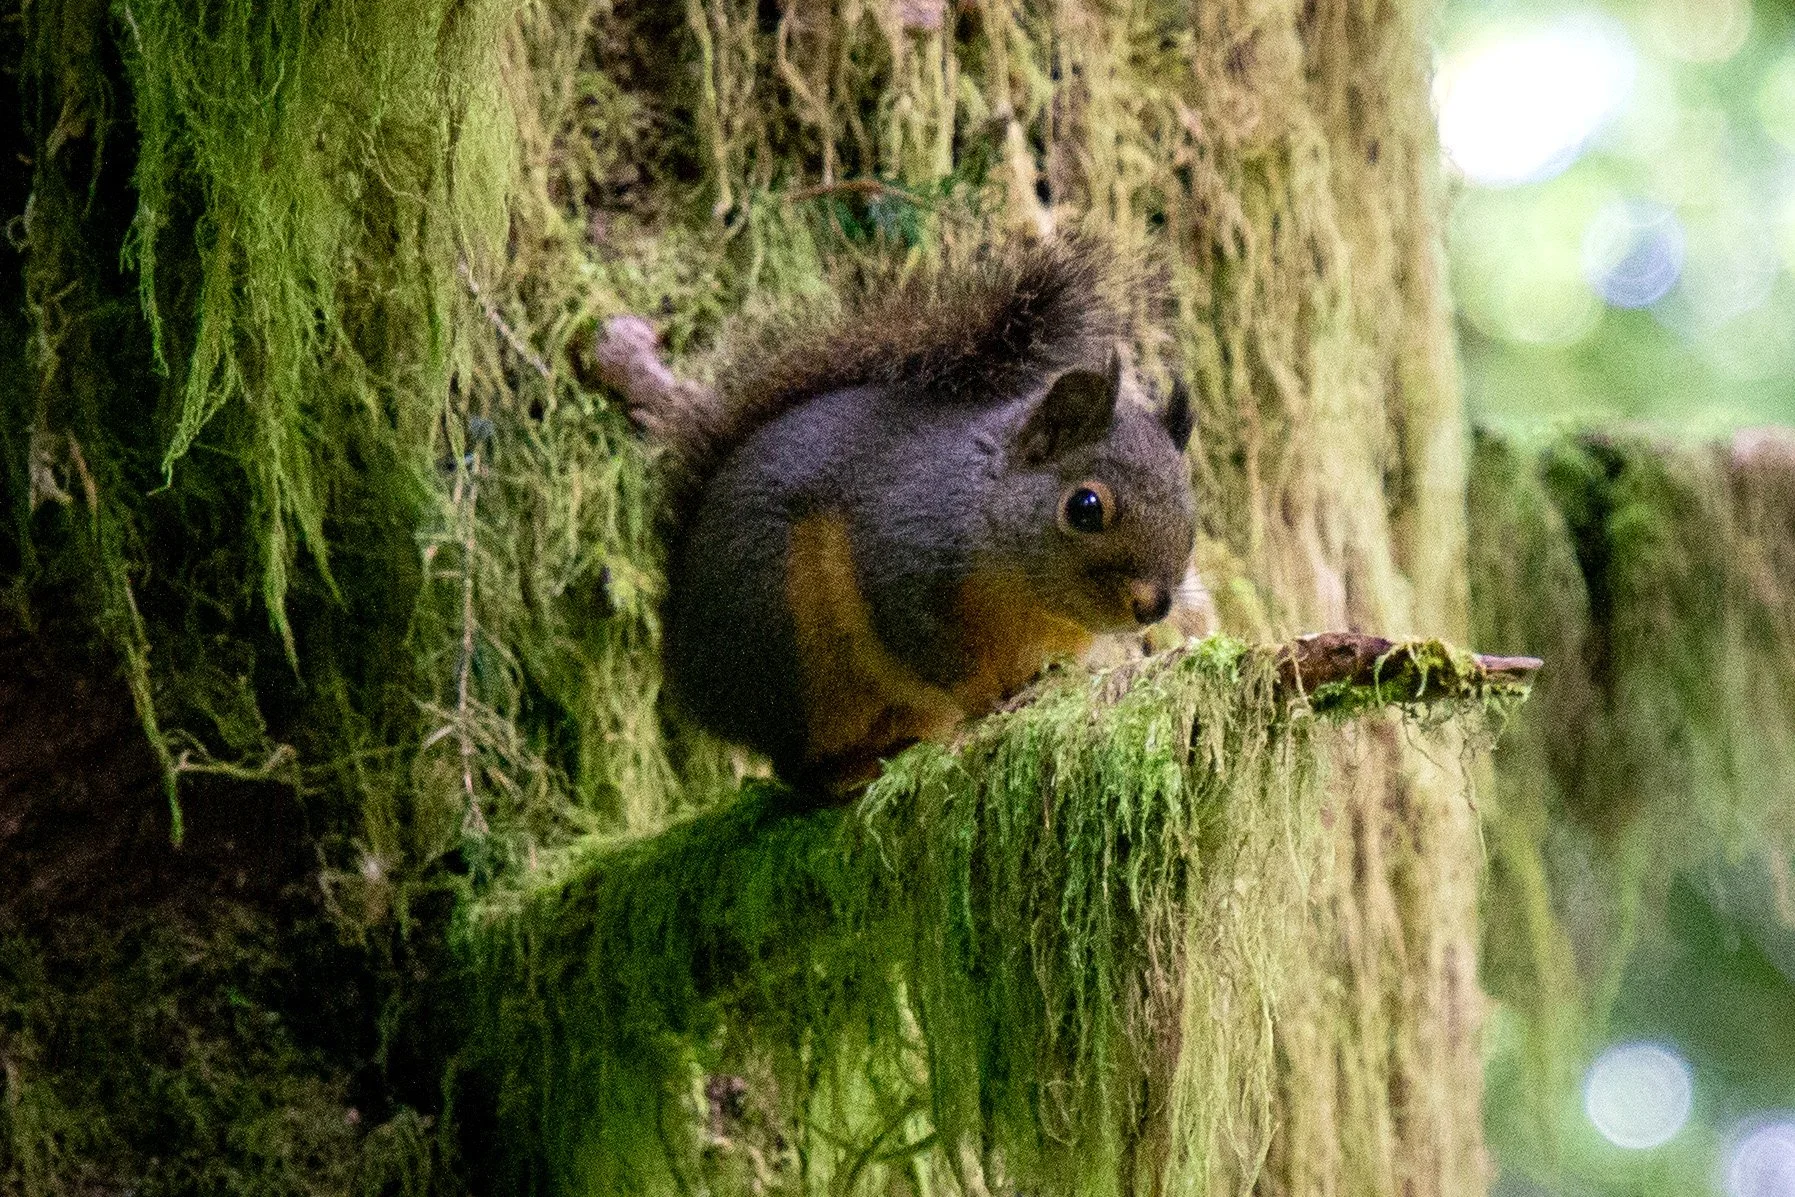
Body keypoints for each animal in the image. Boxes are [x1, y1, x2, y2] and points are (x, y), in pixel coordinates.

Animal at [635, 240, 1196, 796]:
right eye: (1085, 508)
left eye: (1191, 524)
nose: (1154, 607)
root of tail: (688, 666)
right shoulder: (902, 559)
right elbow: (939, 659)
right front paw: (990, 701)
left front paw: (1039, 686)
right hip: (786, 646)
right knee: (795, 769)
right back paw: (850, 773)